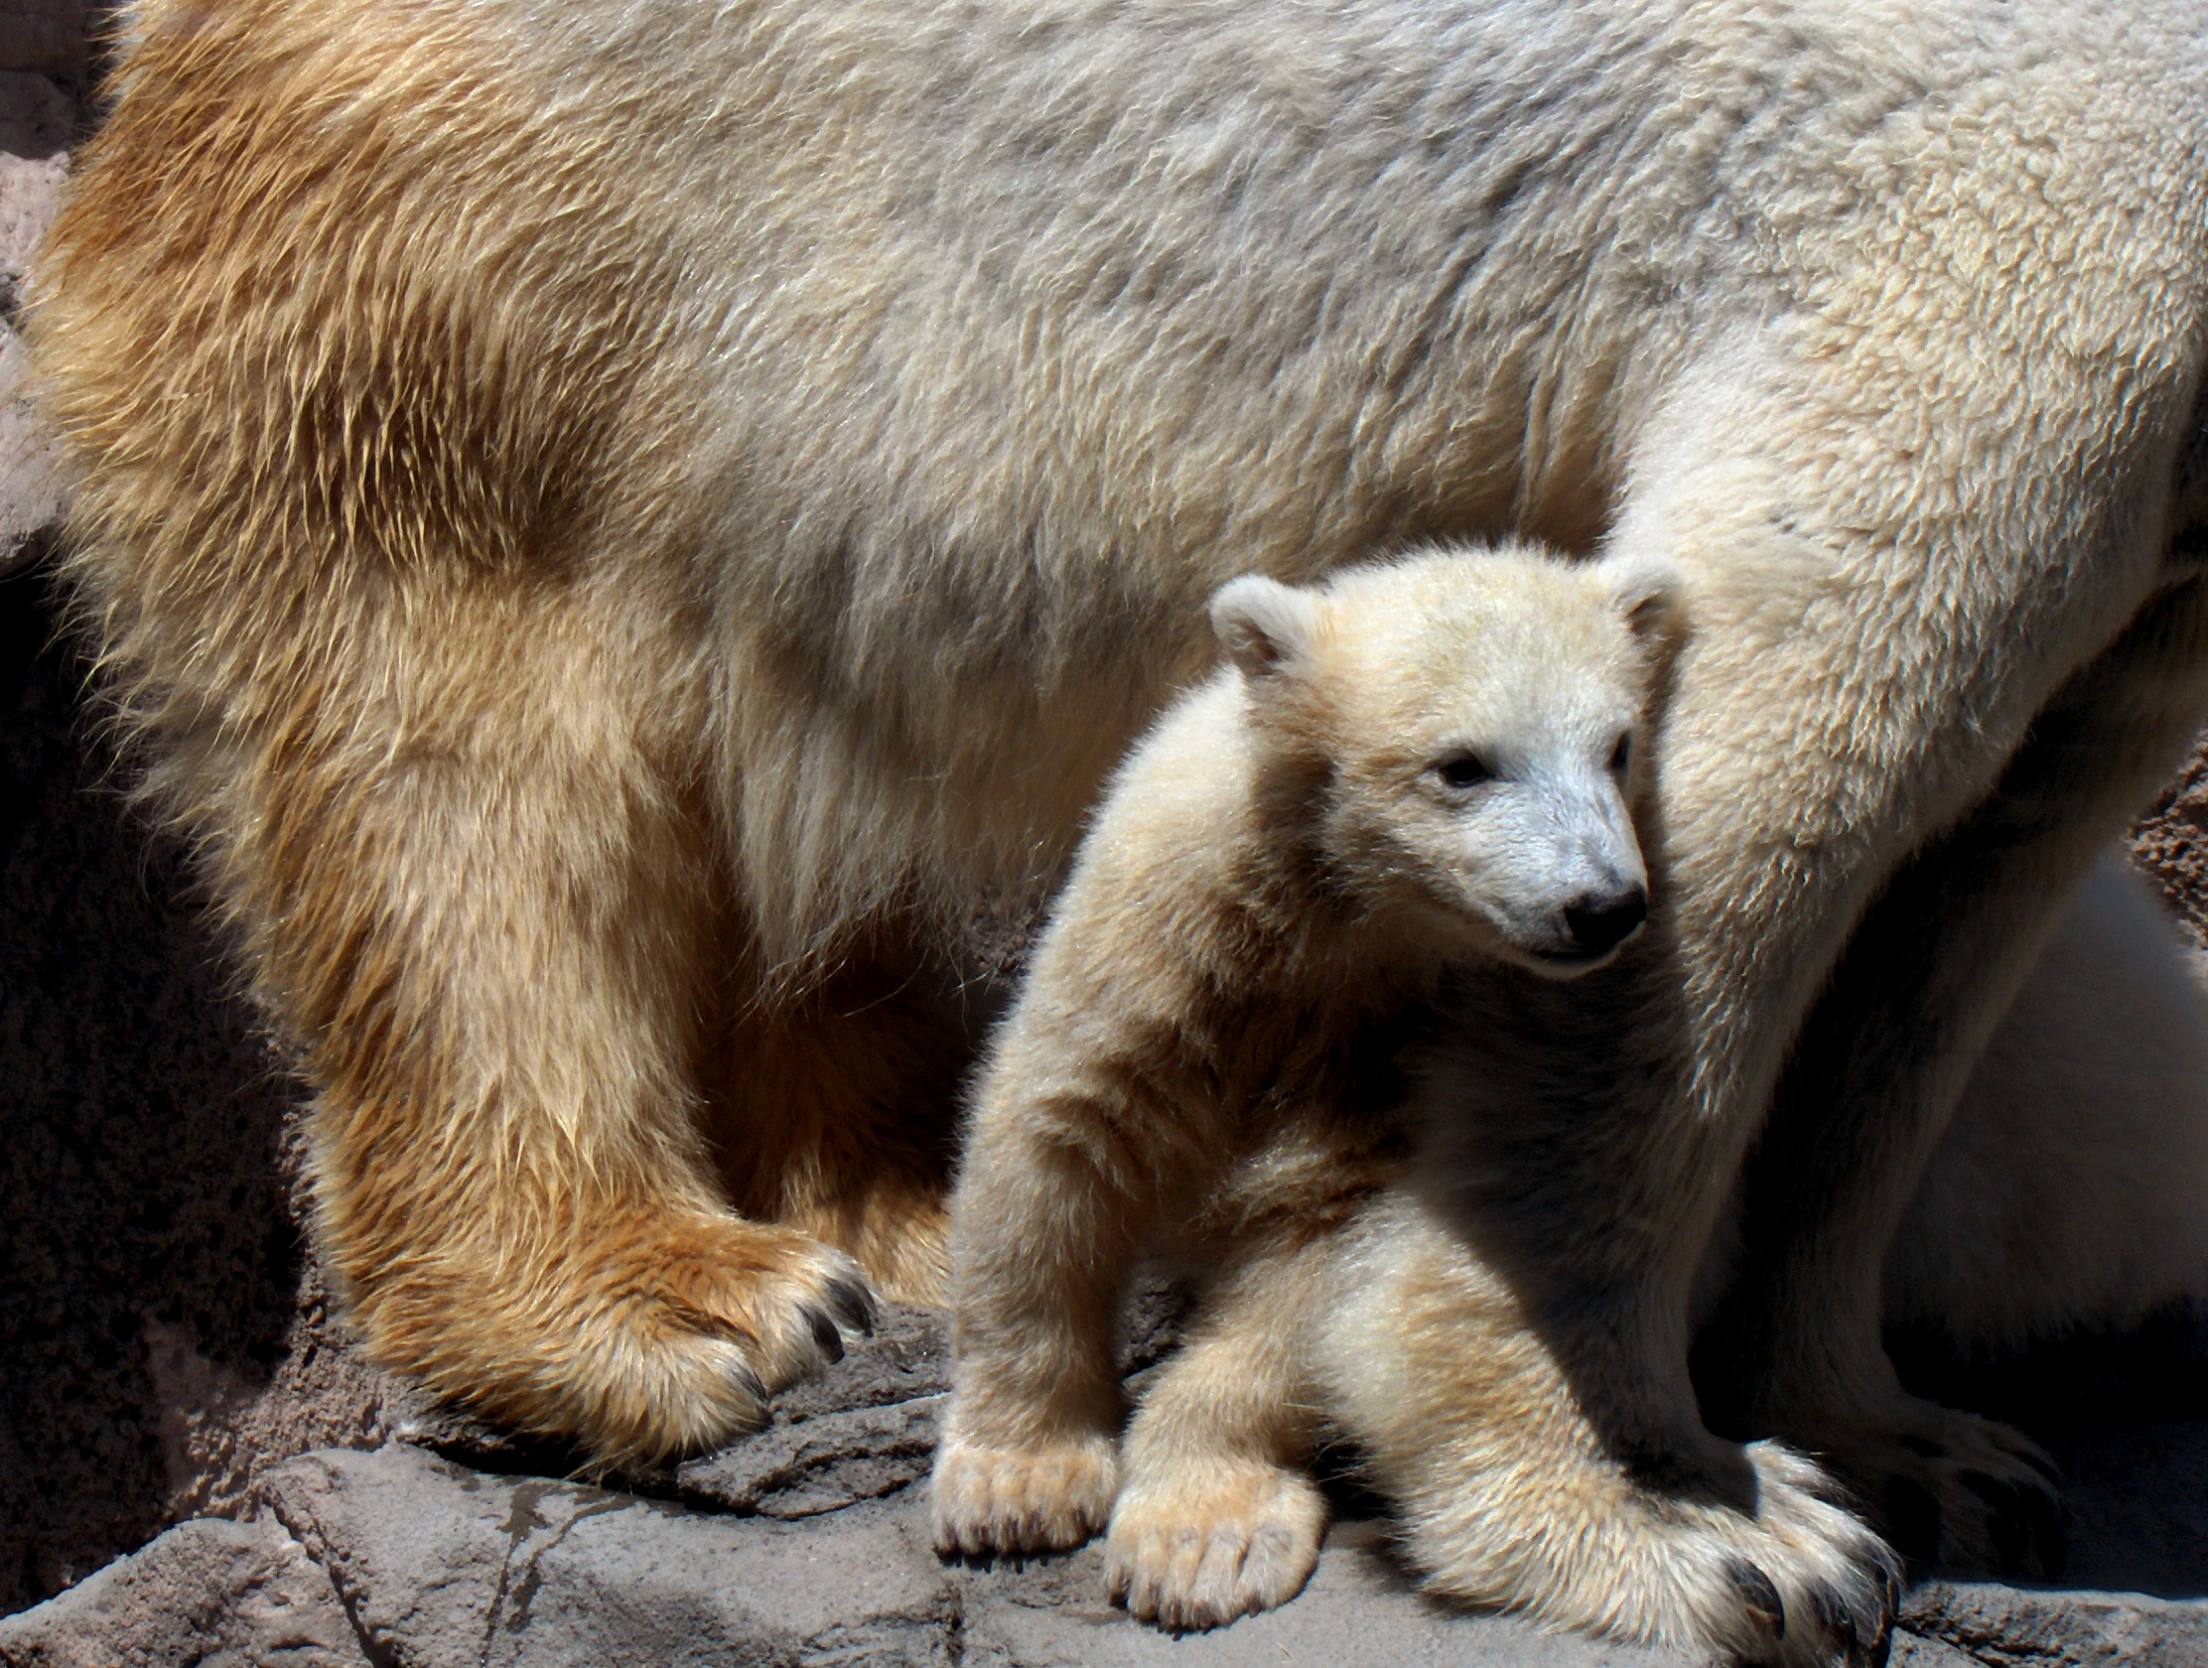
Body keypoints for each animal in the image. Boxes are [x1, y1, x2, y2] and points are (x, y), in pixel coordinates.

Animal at [25, 0, 2208, 1661]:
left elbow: (1959, 891)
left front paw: (1907, 1436)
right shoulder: (2020, 192)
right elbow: (1772, 765)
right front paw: (1684, 1520)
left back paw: (904, 1217)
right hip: (519, 263)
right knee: (476, 767)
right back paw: (671, 1297)